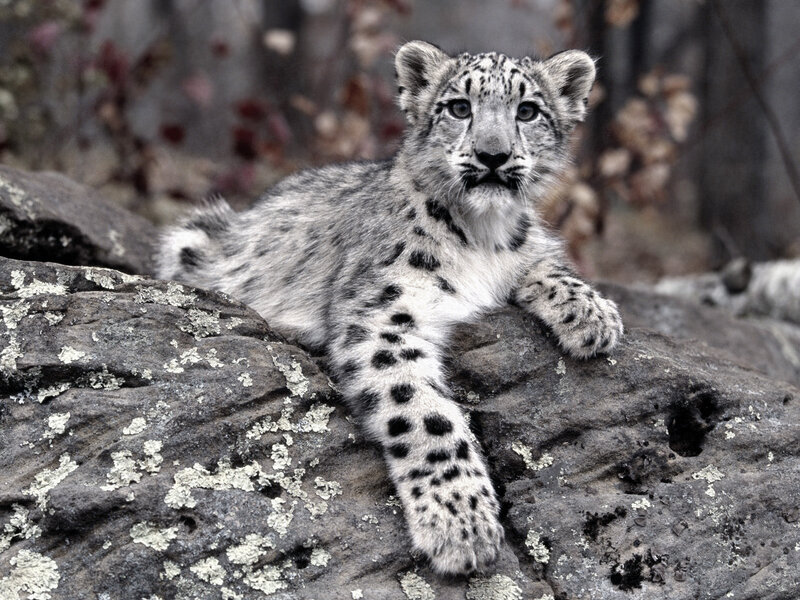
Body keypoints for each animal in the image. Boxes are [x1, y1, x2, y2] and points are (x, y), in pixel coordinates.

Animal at [157, 40, 623, 575]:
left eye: (527, 111)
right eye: (458, 107)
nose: (493, 155)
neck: (482, 237)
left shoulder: (524, 251)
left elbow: (545, 261)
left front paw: (595, 316)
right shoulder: (382, 316)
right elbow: (425, 415)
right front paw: (461, 522)